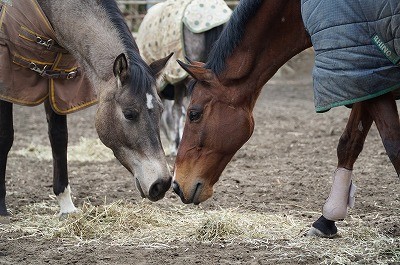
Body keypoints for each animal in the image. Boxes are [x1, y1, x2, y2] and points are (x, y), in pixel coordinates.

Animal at [0, 0, 172, 217]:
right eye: (129, 114)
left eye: (160, 111)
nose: (162, 183)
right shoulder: (7, 82)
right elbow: (5, 138)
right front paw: (1, 207)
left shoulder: (56, 84)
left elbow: (59, 138)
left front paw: (66, 205)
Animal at [172, 0, 400, 237]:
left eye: (194, 114)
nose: (177, 185)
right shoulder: (363, 79)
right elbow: (349, 144)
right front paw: (327, 219)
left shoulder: (362, 69)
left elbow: (394, 148)